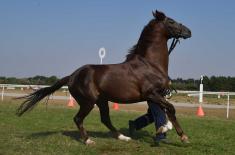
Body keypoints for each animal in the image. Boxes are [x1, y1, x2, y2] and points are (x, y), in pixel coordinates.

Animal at [17, 10, 191, 145]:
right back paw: (88, 140)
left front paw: (169, 131)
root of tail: (72, 76)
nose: (188, 31)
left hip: (102, 101)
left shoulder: (158, 95)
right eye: (171, 21)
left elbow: (165, 112)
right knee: (78, 119)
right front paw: (181, 136)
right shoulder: (151, 94)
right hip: (88, 102)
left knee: (105, 119)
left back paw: (123, 137)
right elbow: (170, 109)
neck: (150, 63)